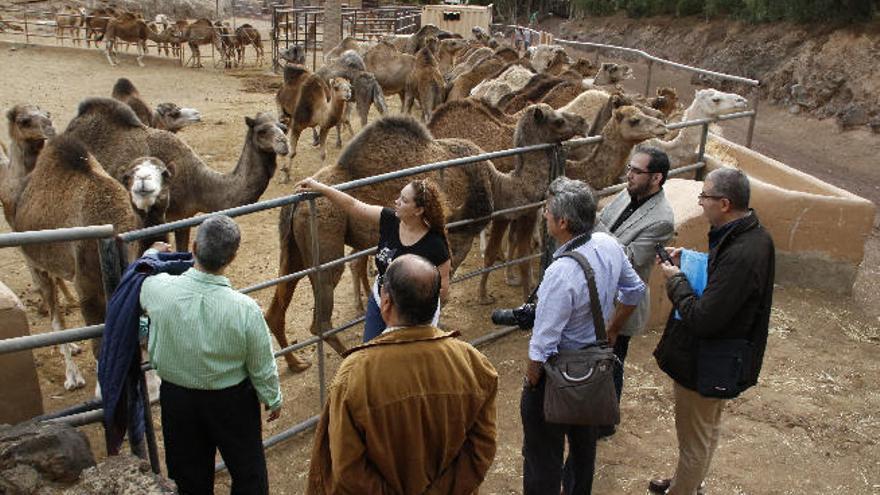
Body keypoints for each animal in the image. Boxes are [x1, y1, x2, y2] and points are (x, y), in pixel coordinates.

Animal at [4, 136, 139, 392]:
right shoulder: (87, 289)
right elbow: (99, 339)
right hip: (35, 264)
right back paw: (72, 376)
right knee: (56, 318)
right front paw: (101, 391)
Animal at [66, 98, 292, 252]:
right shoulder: (164, 217)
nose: (284, 143)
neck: (197, 183)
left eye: (283, 127)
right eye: (261, 131)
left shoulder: (184, 217)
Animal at [266, 105, 584, 368]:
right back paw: (346, 353)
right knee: (321, 314)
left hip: (293, 247)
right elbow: (441, 295)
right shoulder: (456, 241)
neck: (498, 184)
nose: (581, 120)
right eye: (557, 119)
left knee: (278, 304)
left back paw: (296, 363)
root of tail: (296, 201)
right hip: (324, 232)